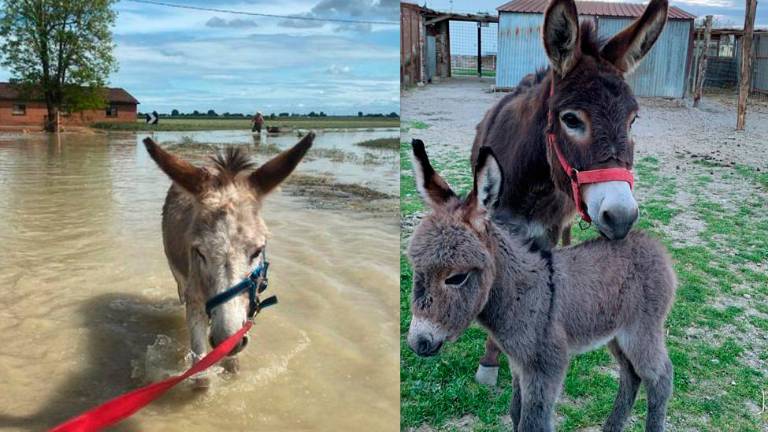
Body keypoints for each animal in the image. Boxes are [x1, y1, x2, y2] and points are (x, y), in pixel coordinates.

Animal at [404, 140, 676, 430]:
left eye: (456, 277)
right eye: (416, 268)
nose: (418, 343)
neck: (519, 293)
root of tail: (652, 243)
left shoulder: (546, 366)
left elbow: (532, 422)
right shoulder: (518, 363)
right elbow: (515, 411)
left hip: (641, 330)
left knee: (660, 377)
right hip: (615, 333)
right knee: (631, 374)